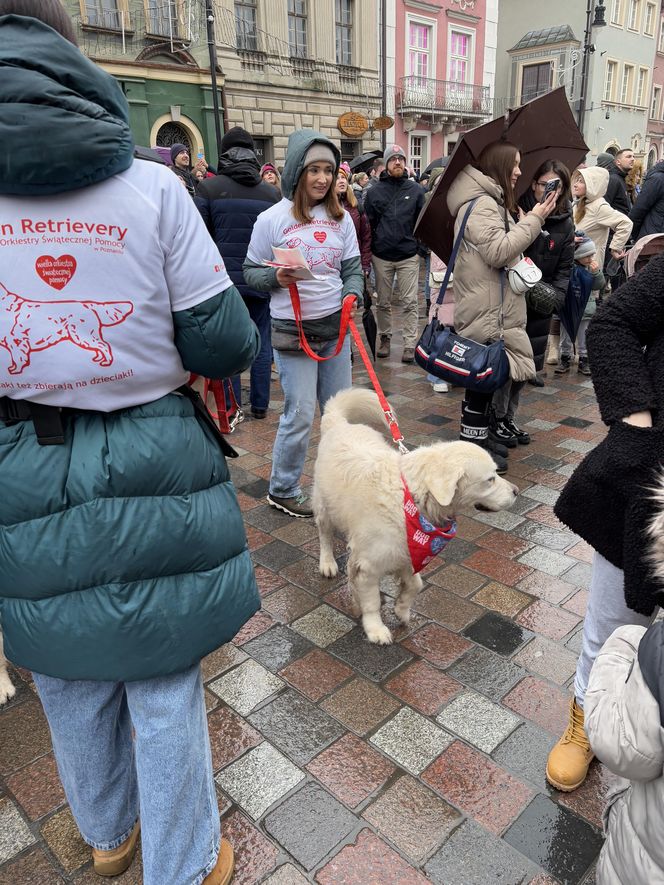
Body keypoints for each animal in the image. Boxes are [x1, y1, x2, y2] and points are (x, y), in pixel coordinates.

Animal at [312, 388, 520, 644]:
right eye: (490, 479)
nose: (516, 492)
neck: (411, 500)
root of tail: (339, 423)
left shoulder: (406, 554)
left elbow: (415, 584)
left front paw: (401, 608)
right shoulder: (369, 564)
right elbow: (371, 601)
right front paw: (375, 628)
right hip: (325, 506)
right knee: (324, 534)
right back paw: (327, 563)